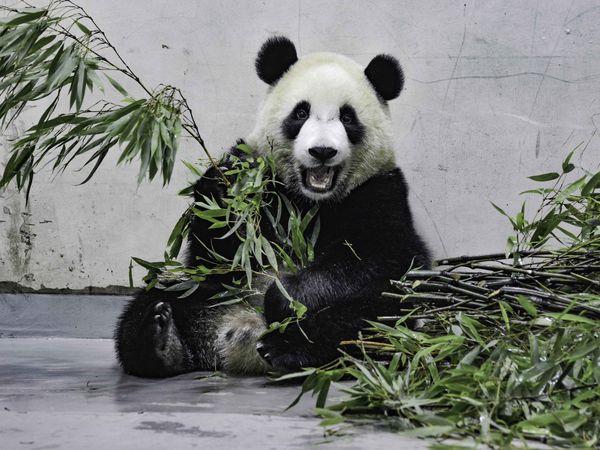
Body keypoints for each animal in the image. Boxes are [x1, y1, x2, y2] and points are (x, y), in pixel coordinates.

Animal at [115, 37, 428, 378]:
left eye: (347, 118)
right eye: (301, 112)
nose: (322, 151)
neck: (309, 202)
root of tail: (239, 337)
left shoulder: (380, 192)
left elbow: (379, 258)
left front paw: (284, 296)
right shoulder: (263, 187)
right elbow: (215, 251)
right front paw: (222, 191)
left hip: (398, 313)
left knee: (373, 318)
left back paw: (287, 346)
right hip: (206, 292)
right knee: (148, 304)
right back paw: (161, 337)